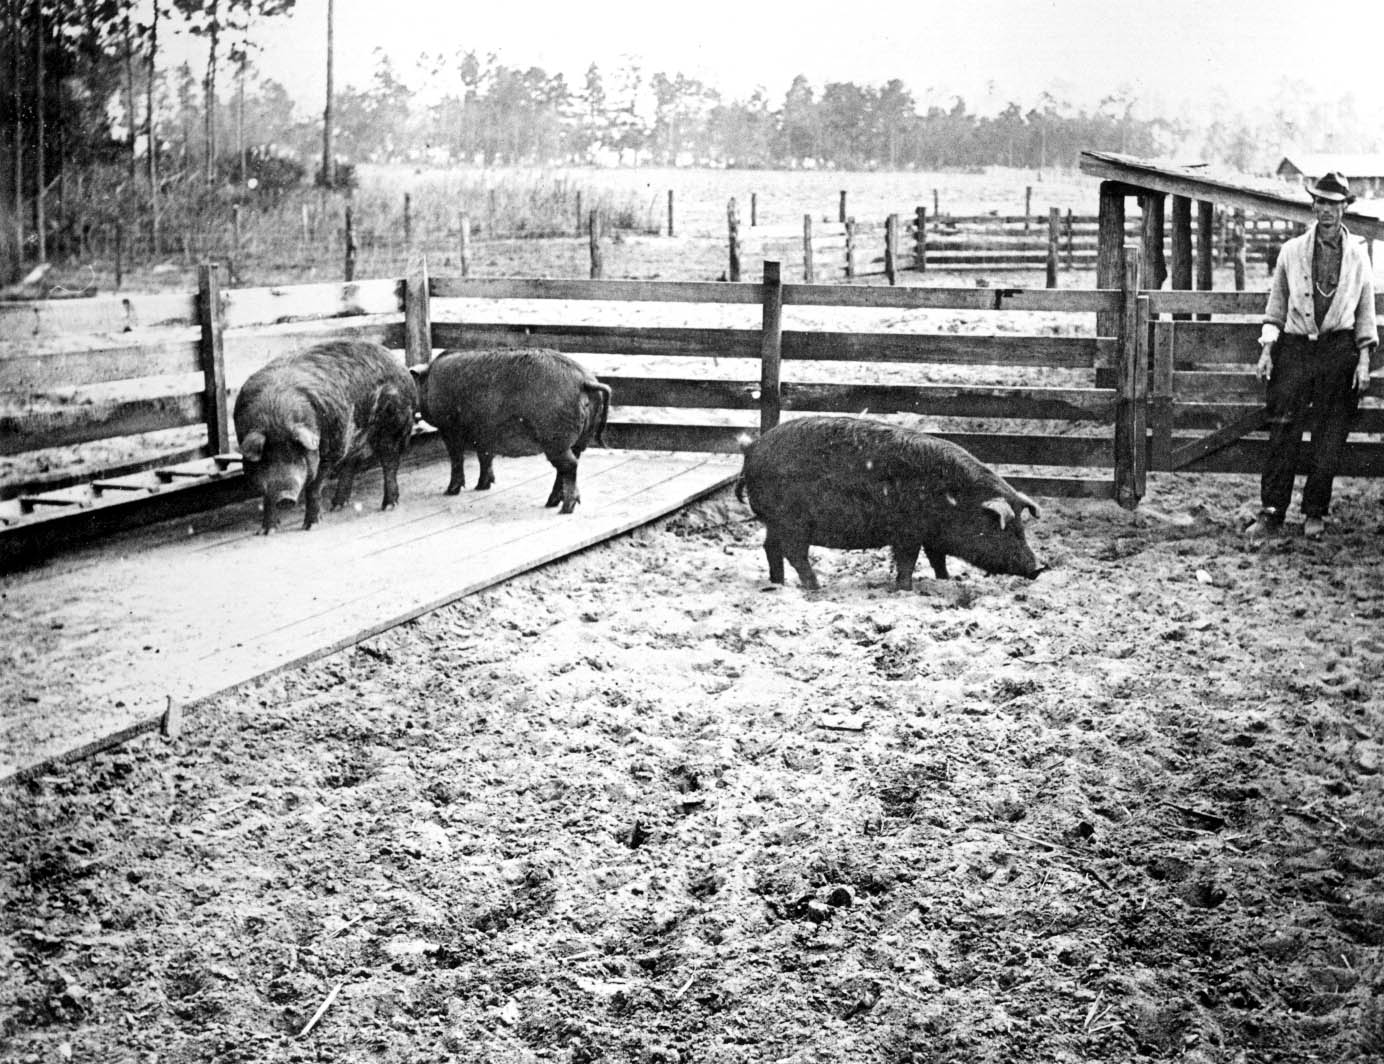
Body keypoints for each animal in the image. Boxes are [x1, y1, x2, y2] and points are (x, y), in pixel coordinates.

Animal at [233, 339, 417, 534]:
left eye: (297, 455)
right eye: (267, 459)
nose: (285, 498)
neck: (276, 413)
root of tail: (401, 365)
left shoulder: (327, 450)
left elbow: (313, 489)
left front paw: (310, 526)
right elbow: (267, 496)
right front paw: (266, 532)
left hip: (394, 427)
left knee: (390, 464)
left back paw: (388, 506)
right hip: (352, 437)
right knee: (350, 464)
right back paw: (337, 506)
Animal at [409, 348, 611, 514]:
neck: (429, 381)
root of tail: (584, 380)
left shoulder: (449, 428)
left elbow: (457, 458)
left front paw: (450, 491)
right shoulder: (484, 434)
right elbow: (485, 457)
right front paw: (482, 487)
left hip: (556, 440)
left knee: (569, 466)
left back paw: (564, 509)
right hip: (580, 439)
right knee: (569, 465)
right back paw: (551, 503)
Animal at [736, 415, 1042, 590]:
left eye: (1023, 528)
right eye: (1006, 529)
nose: (1039, 568)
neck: (956, 500)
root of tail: (752, 449)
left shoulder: (931, 536)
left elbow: (937, 560)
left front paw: (947, 581)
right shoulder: (908, 532)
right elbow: (909, 561)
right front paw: (904, 589)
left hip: (775, 522)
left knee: (771, 548)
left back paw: (778, 583)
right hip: (792, 521)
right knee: (794, 552)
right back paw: (815, 587)